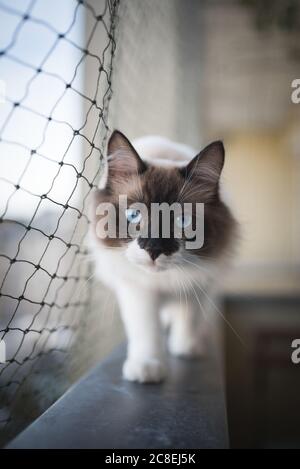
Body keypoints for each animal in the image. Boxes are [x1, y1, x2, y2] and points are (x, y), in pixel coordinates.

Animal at [90, 130, 236, 382]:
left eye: (182, 221)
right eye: (134, 215)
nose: (154, 249)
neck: (165, 281)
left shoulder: (197, 284)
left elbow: (189, 317)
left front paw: (187, 348)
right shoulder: (138, 289)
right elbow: (147, 330)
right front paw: (147, 368)